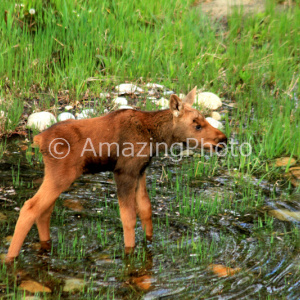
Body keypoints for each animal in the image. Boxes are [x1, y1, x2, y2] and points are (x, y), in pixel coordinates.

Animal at [5, 87, 227, 262]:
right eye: (197, 125)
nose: (223, 139)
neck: (155, 138)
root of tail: (39, 139)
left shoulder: (140, 170)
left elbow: (146, 209)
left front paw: (149, 243)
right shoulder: (124, 172)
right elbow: (128, 218)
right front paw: (130, 253)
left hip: (55, 176)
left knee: (45, 211)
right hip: (61, 176)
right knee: (30, 207)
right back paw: (10, 259)